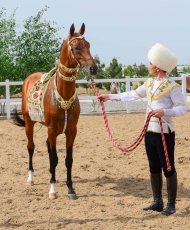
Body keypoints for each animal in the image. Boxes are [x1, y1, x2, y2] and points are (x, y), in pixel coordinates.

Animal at [12, 23, 97, 199]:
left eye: (89, 45)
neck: (64, 96)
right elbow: (54, 158)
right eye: (77, 47)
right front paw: (53, 190)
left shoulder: (71, 131)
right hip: (29, 124)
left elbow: (68, 159)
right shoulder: (52, 131)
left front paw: (70, 189)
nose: (93, 68)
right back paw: (30, 178)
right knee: (31, 147)